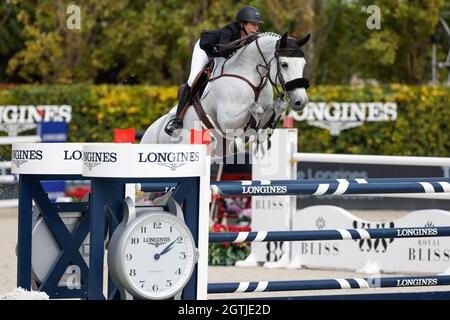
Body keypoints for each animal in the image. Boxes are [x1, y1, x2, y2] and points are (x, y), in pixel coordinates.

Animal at [142, 31, 312, 158]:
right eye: (284, 64)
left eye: (304, 64)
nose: (300, 102)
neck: (252, 77)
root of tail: (149, 131)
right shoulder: (226, 120)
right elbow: (255, 108)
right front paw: (247, 132)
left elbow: (274, 110)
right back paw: (174, 125)